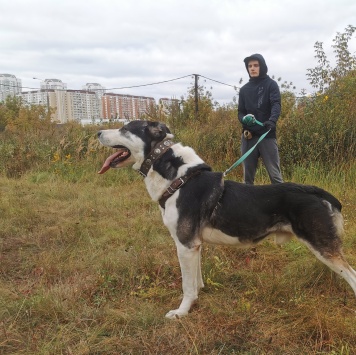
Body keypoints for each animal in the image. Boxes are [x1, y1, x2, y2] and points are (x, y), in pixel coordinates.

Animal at [96, 120, 356, 320]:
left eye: (125, 128)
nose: (97, 132)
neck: (179, 180)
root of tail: (319, 193)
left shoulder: (185, 245)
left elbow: (186, 286)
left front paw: (181, 312)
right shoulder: (194, 246)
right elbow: (196, 280)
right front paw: (197, 297)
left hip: (323, 247)